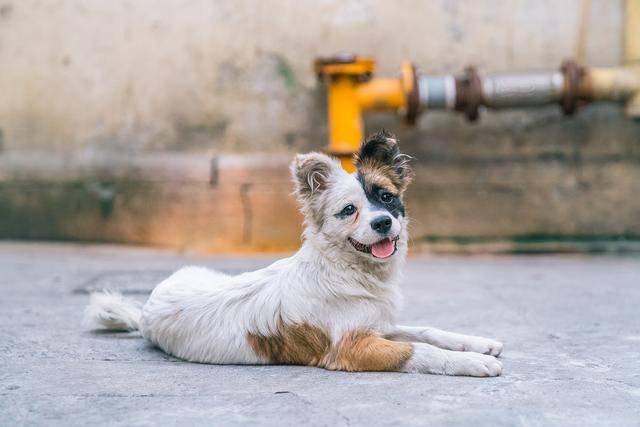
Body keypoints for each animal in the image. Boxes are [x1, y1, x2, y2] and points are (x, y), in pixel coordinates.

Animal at [84, 131, 504, 378]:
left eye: (386, 197)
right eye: (348, 210)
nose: (384, 222)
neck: (344, 269)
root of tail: (147, 308)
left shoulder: (376, 324)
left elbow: (426, 331)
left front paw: (477, 343)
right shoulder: (353, 346)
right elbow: (418, 350)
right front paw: (473, 362)